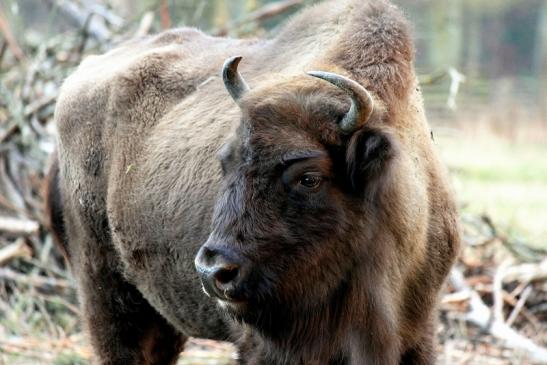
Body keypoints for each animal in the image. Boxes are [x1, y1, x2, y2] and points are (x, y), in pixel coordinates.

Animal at [45, 1, 460, 362]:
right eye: (224, 162)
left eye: (309, 178)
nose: (212, 271)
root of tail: (73, 81)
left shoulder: (416, 332)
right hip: (106, 290)